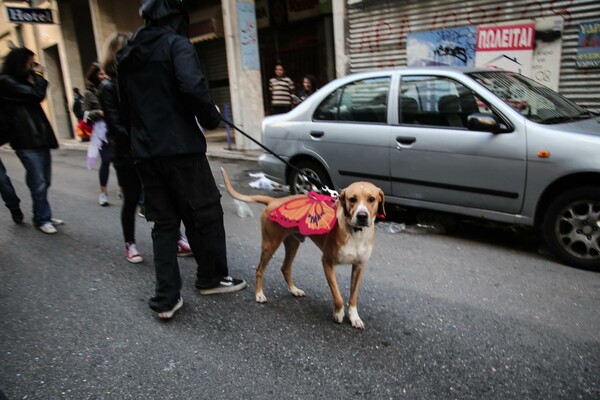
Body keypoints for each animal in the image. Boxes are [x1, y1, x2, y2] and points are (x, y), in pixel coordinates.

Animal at [220, 168, 384, 328]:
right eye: (352, 199)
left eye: (371, 199)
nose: (362, 216)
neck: (355, 232)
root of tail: (274, 200)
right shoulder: (327, 262)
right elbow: (337, 295)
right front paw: (338, 313)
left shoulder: (359, 266)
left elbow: (353, 296)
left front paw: (354, 317)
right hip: (270, 244)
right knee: (260, 269)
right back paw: (259, 294)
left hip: (293, 244)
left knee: (285, 268)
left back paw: (293, 290)